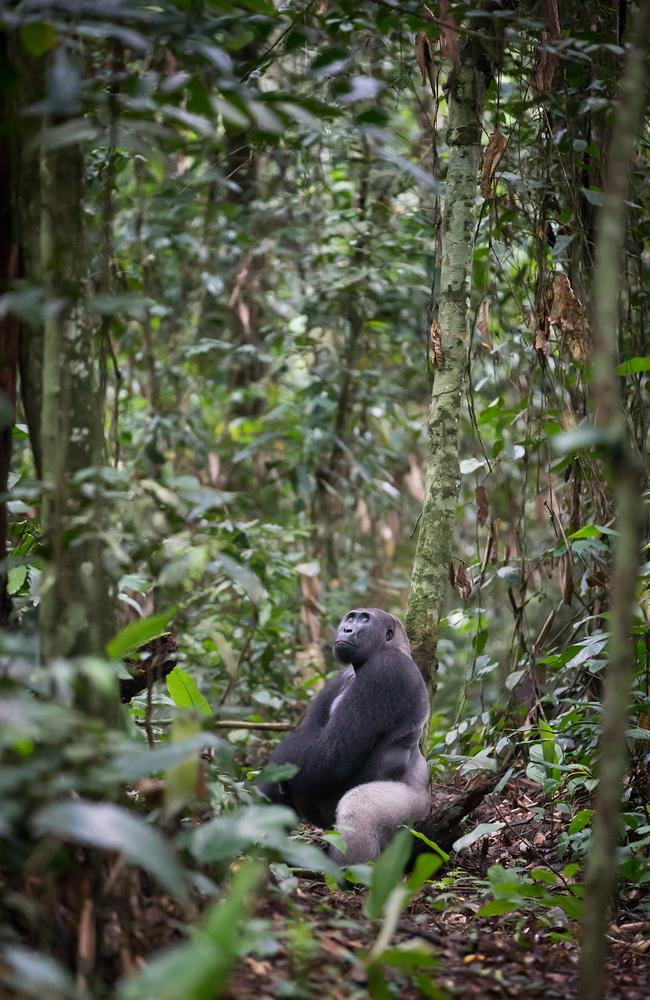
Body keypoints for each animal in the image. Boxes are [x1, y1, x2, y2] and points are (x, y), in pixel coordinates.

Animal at [258, 604, 430, 864]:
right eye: (350, 618)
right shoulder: (341, 675)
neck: (391, 647)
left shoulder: (386, 668)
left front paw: (279, 758)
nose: (347, 629)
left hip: (416, 814)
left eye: (364, 620)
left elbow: (333, 752)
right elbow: (310, 736)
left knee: (360, 805)